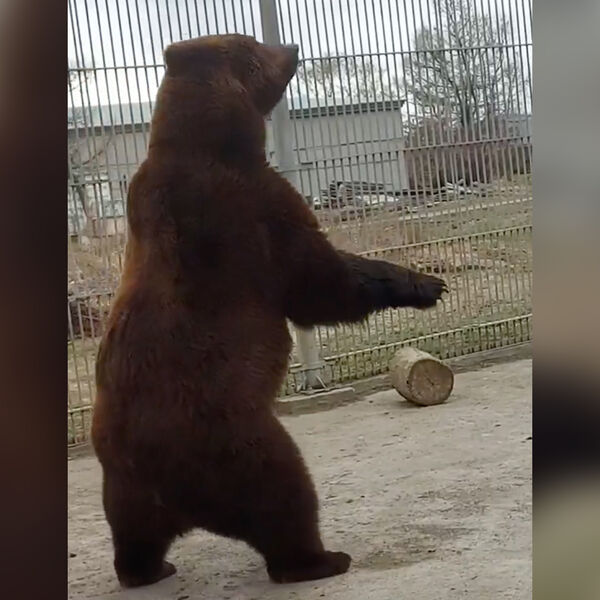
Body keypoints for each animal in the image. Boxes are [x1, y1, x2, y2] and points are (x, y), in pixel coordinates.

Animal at [91, 33, 447, 589]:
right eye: (254, 43)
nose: (294, 43)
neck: (212, 140)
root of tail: (172, 496)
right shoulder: (251, 212)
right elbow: (318, 281)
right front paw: (425, 283)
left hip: (122, 483)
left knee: (132, 532)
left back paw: (149, 569)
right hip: (235, 443)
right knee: (286, 498)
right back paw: (322, 559)